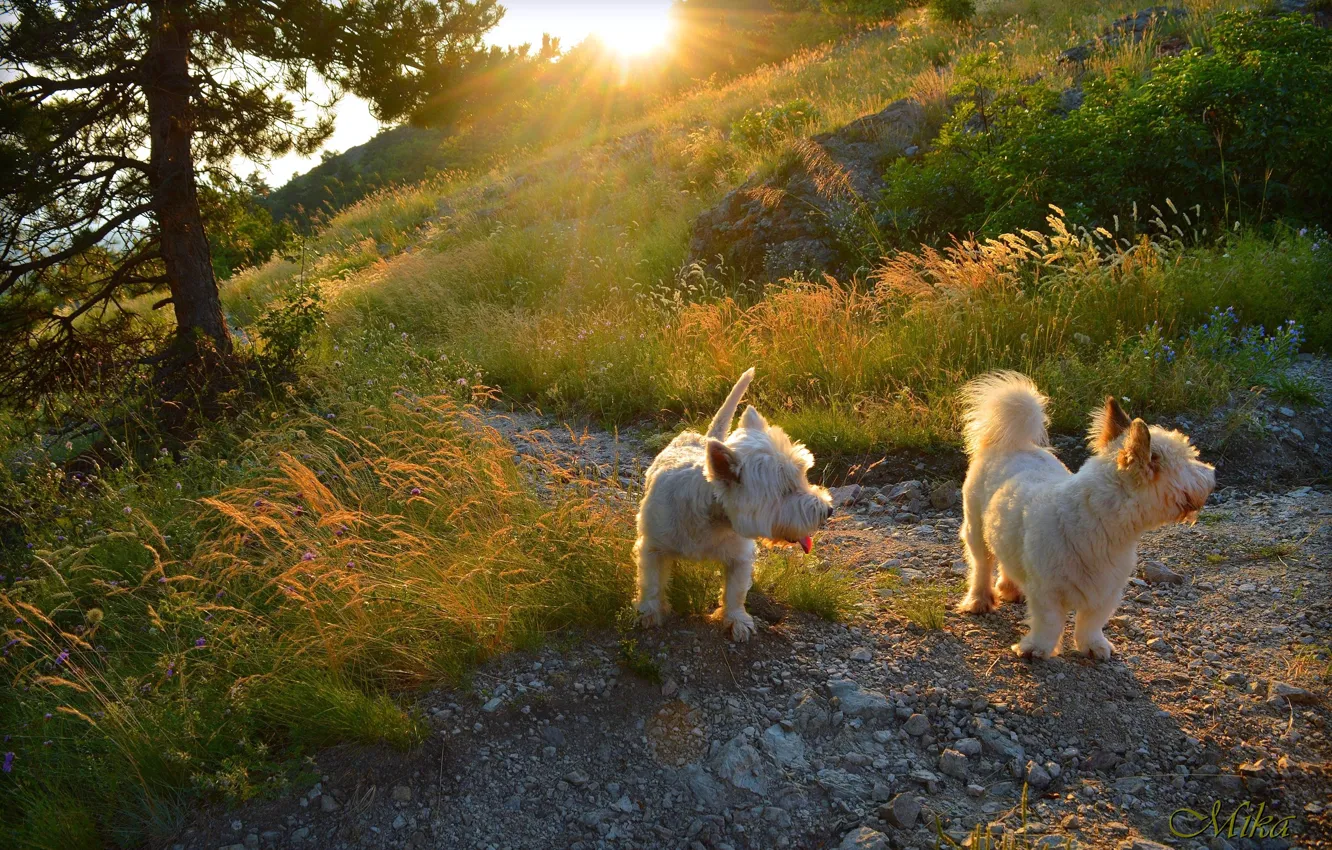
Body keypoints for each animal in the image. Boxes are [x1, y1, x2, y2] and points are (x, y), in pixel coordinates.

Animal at [634, 370, 831, 642]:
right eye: (785, 490)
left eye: (804, 476)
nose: (828, 511)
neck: (712, 515)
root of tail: (706, 437)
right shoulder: (652, 546)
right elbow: (651, 581)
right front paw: (650, 612)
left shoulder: (739, 555)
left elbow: (735, 591)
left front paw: (737, 620)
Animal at [959, 370, 1220, 660]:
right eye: (1186, 464)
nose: (1212, 473)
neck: (1097, 521)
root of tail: (1012, 444)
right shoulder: (1046, 592)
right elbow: (1048, 623)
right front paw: (1037, 648)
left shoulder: (1107, 592)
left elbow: (1091, 622)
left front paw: (1093, 646)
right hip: (976, 531)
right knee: (981, 566)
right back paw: (979, 600)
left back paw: (1010, 588)